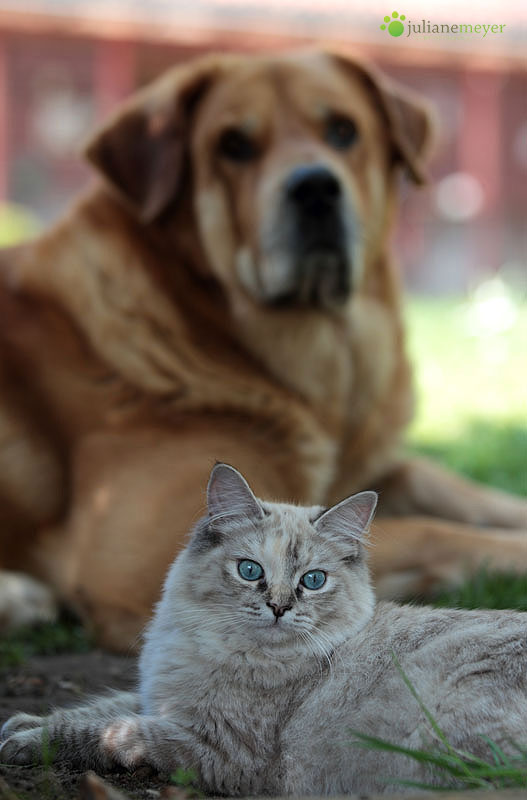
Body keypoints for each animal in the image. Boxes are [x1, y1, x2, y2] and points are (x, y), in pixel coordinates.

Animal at [1, 50, 527, 648]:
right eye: (233, 144)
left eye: (343, 130)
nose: (316, 188)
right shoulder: (149, 554)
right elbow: (429, 533)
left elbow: (450, 488)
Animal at [1, 462, 527, 792]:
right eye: (250, 571)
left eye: (312, 581)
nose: (277, 607)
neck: (214, 647)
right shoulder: (157, 697)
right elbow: (96, 707)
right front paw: (22, 724)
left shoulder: (210, 746)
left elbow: (105, 731)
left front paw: (25, 744)